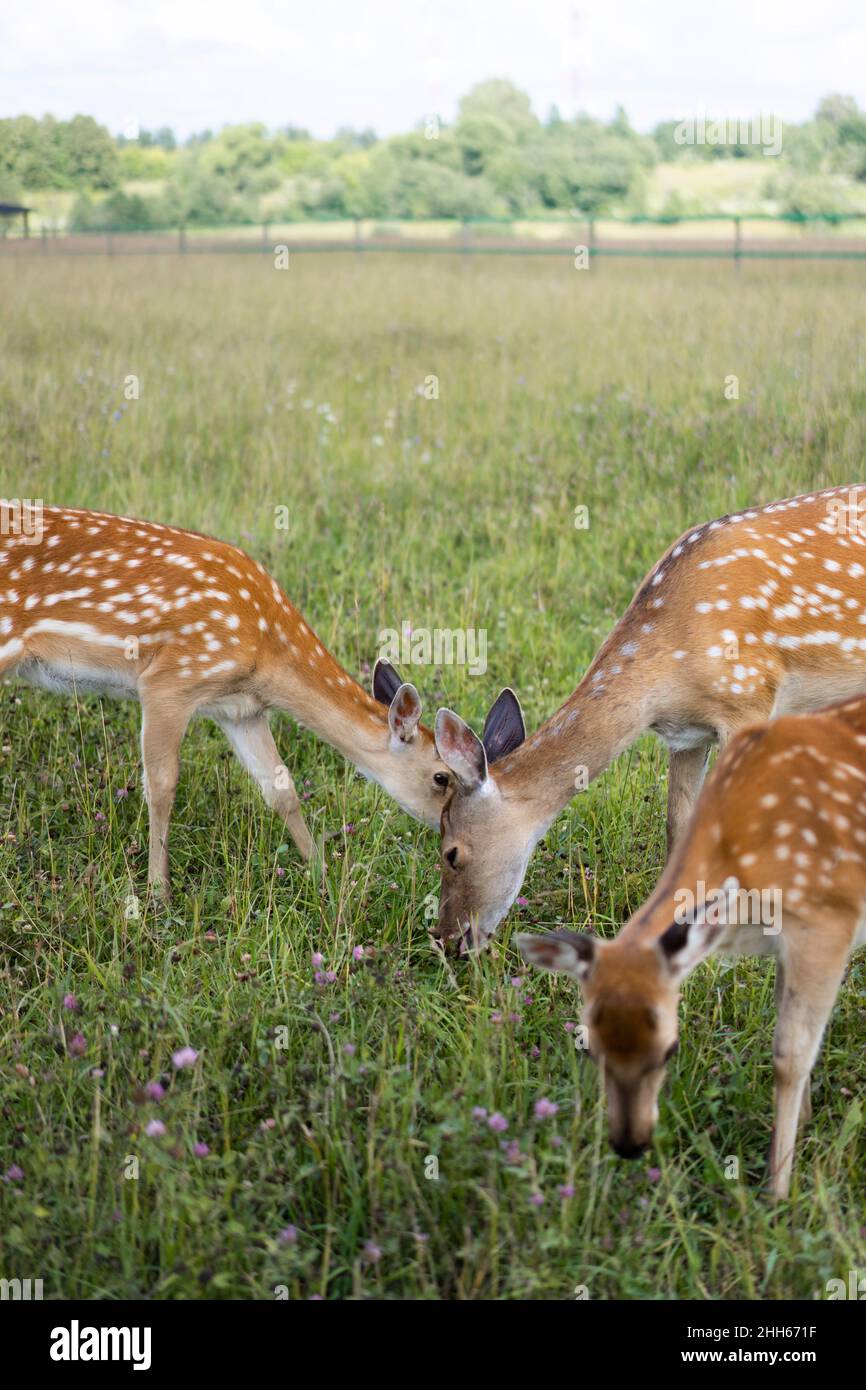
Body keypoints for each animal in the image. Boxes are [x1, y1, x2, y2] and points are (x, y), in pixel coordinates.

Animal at [0, 504, 454, 893]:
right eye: (442, 777)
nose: (452, 842)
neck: (266, 651)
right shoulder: (170, 680)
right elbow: (162, 785)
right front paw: (158, 894)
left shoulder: (241, 710)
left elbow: (281, 788)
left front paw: (322, 877)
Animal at [518, 692, 866, 1199]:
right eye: (591, 1048)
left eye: (670, 1049)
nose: (629, 1145)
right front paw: (803, 1125)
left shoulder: (826, 921)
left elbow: (790, 1054)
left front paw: (778, 1190)